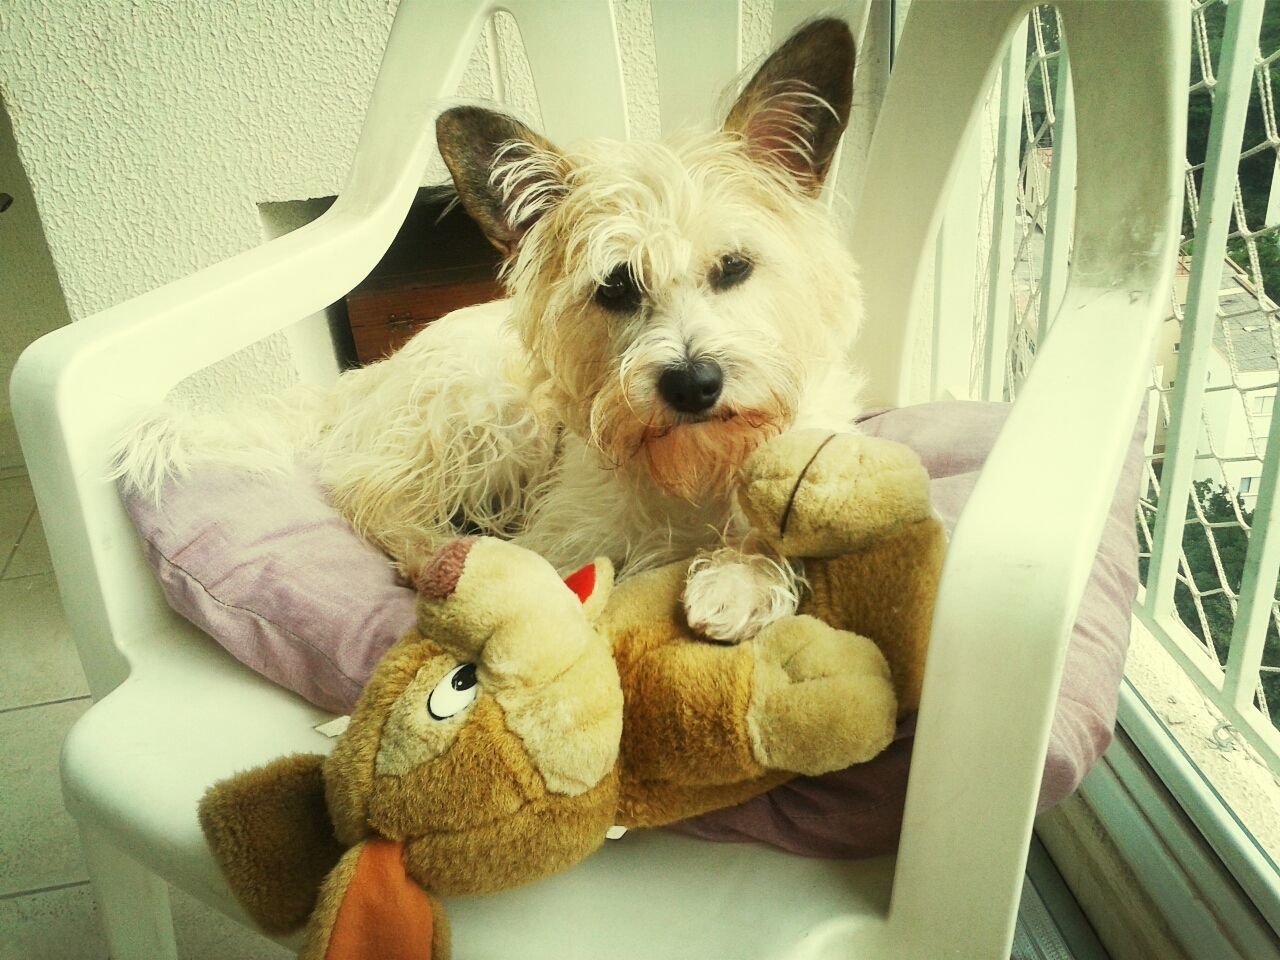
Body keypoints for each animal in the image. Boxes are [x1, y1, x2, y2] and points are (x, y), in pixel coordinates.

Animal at [120, 16, 865, 647]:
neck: (692, 466)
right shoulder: (564, 538)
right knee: (371, 494)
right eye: (615, 287)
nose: (692, 385)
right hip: (494, 417)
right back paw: (438, 551)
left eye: (734, 266)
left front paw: (741, 574)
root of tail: (374, 375)